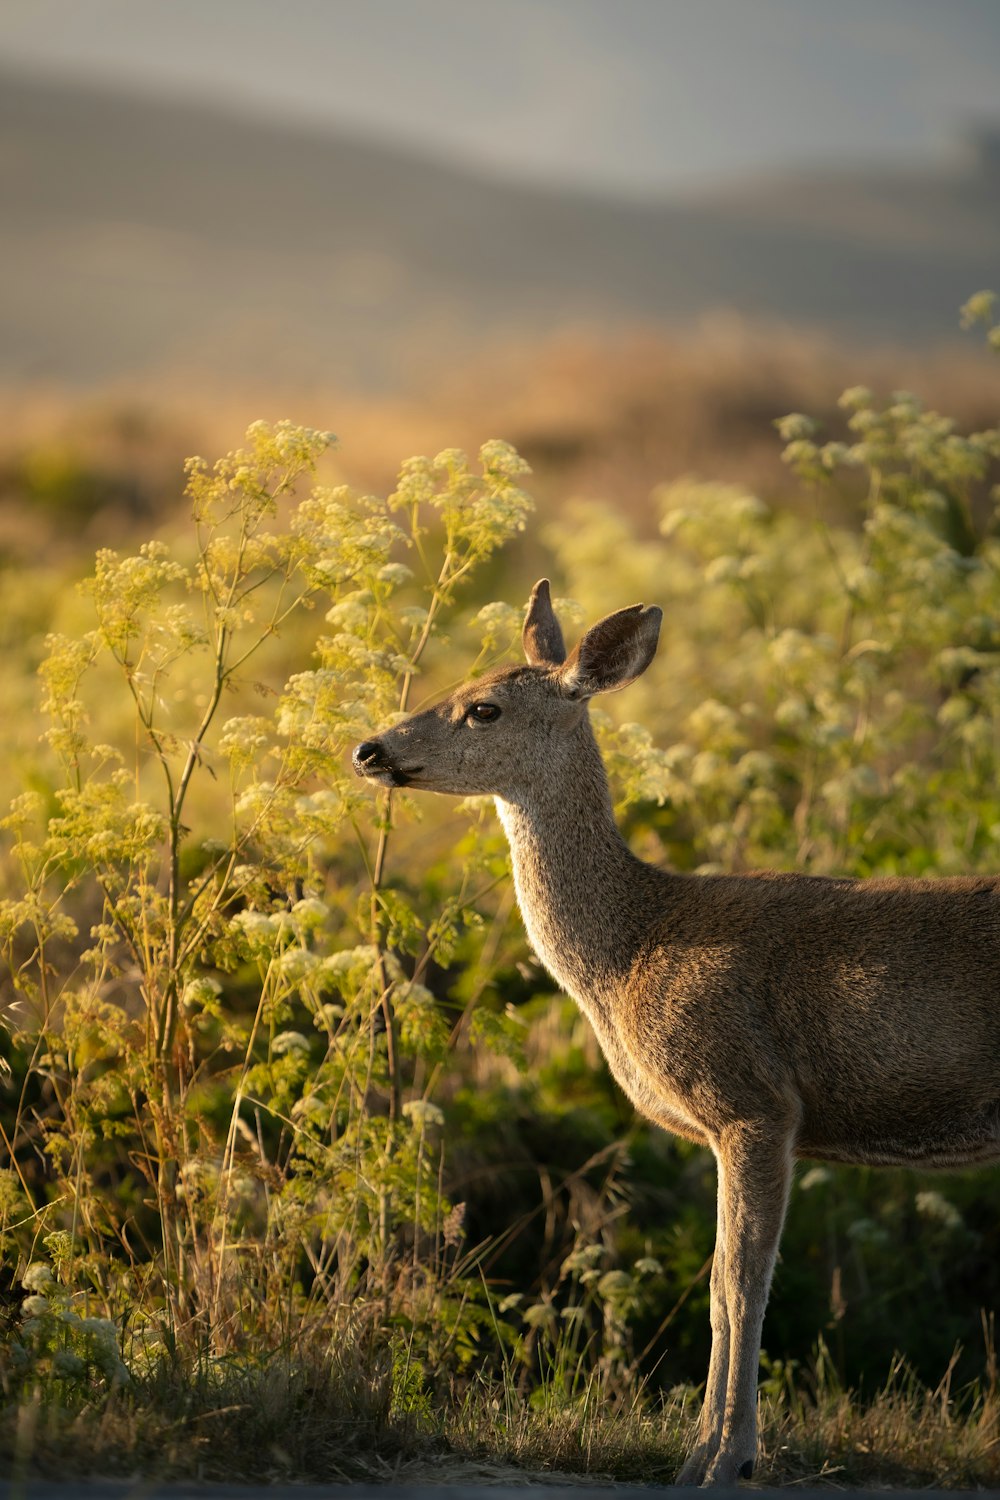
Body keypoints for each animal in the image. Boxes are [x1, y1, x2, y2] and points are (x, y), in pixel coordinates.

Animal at [352, 579, 1000, 1482]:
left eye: (482, 708)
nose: (369, 748)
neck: (631, 948)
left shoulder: (752, 1101)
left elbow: (735, 1286)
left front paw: (721, 1461)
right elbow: (726, 1285)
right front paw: (709, 1452)